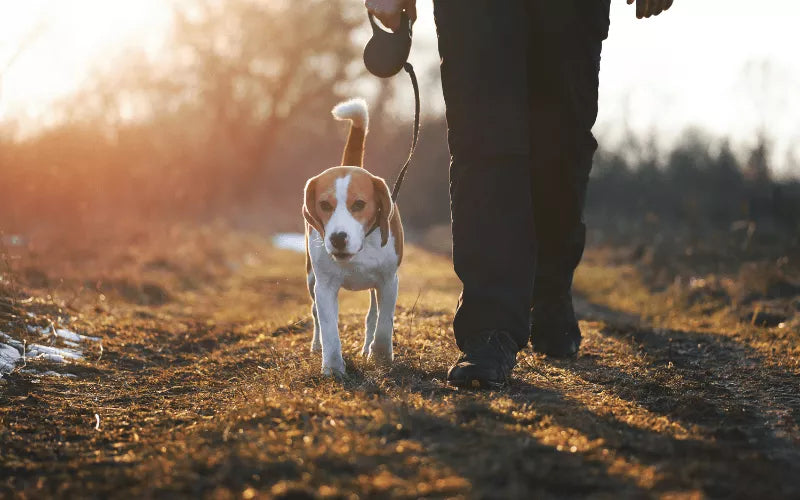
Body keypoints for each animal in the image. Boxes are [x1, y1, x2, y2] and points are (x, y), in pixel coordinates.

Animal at [304, 98, 404, 376]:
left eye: (359, 204)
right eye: (325, 205)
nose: (338, 238)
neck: (359, 251)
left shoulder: (388, 281)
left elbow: (384, 324)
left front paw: (380, 357)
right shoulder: (325, 286)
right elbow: (329, 328)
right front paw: (333, 368)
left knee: (373, 317)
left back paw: (368, 346)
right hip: (311, 278)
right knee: (315, 314)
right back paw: (317, 346)